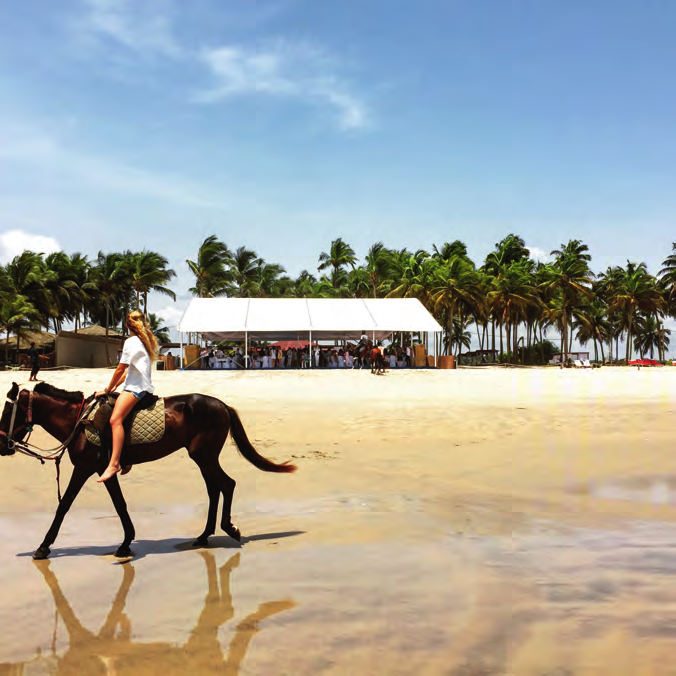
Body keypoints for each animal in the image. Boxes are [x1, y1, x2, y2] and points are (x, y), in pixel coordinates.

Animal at [0, 380, 296, 560]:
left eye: (6, 411)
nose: (3, 445)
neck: (79, 422)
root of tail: (221, 404)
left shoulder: (95, 469)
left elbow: (88, 505)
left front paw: (44, 547)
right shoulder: (90, 469)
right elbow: (88, 505)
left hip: (204, 456)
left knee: (226, 484)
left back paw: (228, 529)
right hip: (203, 457)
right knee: (215, 489)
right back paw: (204, 536)